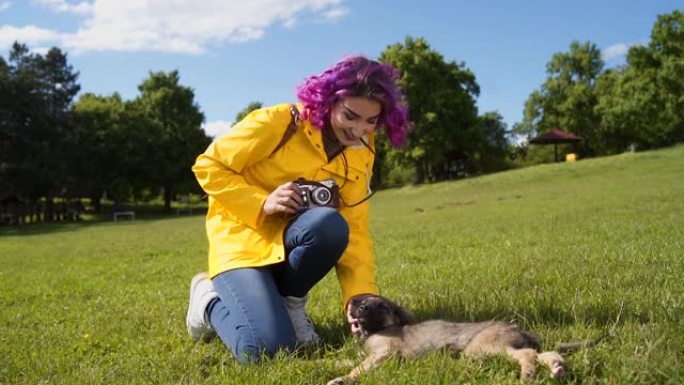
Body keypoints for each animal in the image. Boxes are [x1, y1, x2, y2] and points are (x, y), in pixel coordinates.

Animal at [332, 292, 604, 382]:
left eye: (381, 305)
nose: (357, 305)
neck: (373, 331)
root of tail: (519, 330)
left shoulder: (383, 354)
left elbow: (357, 369)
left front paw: (342, 379)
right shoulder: (370, 354)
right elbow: (345, 361)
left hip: (484, 347)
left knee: (528, 355)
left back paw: (527, 375)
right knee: (543, 354)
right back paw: (557, 368)